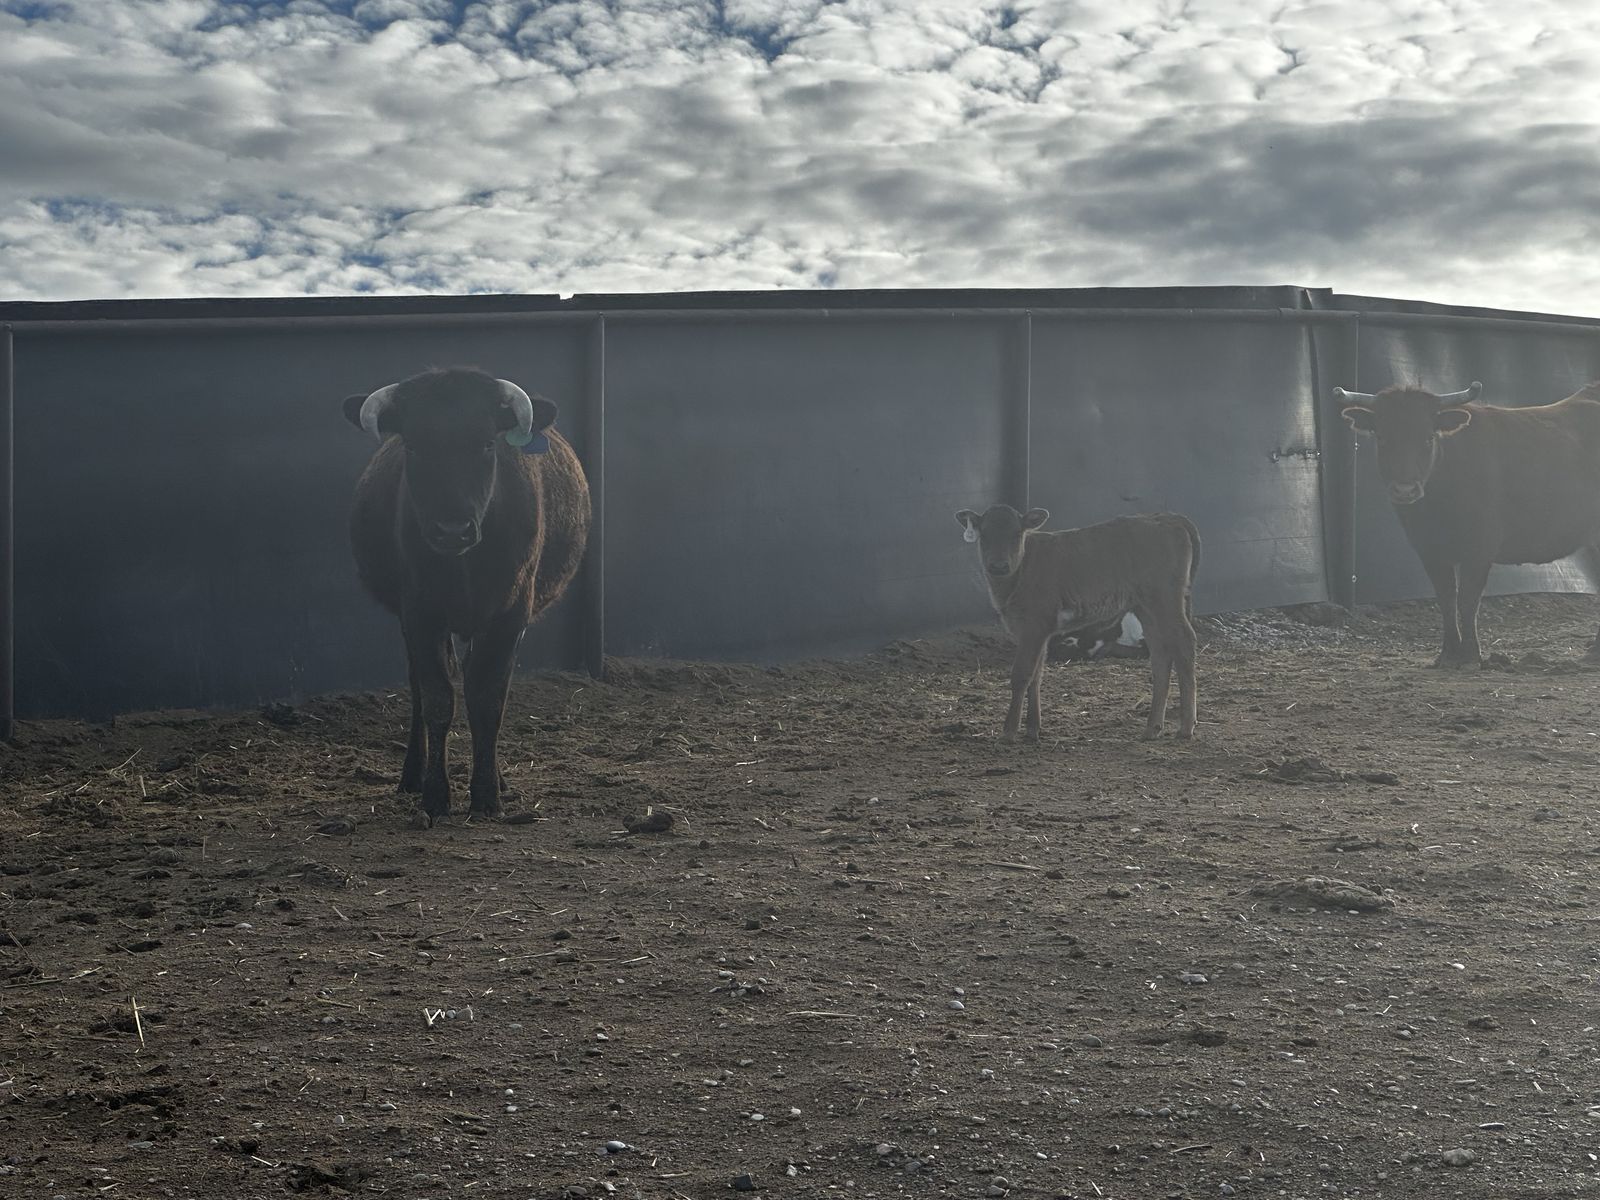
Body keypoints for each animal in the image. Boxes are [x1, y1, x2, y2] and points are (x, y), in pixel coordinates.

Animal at [343, 367, 590, 826]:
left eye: (487, 444)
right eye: (413, 444)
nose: (451, 530)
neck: (463, 565)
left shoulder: (511, 614)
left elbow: (488, 699)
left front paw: (488, 793)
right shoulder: (420, 614)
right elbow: (438, 699)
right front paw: (435, 795)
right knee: (419, 689)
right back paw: (413, 774)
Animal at [955, 505, 1200, 742]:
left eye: (1017, 533)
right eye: (984, 534)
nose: (998, 566)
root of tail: (1167, 517)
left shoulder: (1034, 625)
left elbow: (1022, 674)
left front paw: (1009, 732)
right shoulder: (1041, 631)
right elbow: (1037, 675)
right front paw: (1033, 729)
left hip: (1165, 600)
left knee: (1185, 642)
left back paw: (1186, 727)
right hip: (1146, 607)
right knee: (1160, 654)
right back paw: (1152, 728)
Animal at [1337, 380, 1600, 667]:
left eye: (1428, 437)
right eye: (1382, 437)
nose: (1405, 490)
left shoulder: (1479, 550)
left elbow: (1468, 600)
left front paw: (1471, 654)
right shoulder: (1429, 551)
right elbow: (1446, 599)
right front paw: (1448, 653)